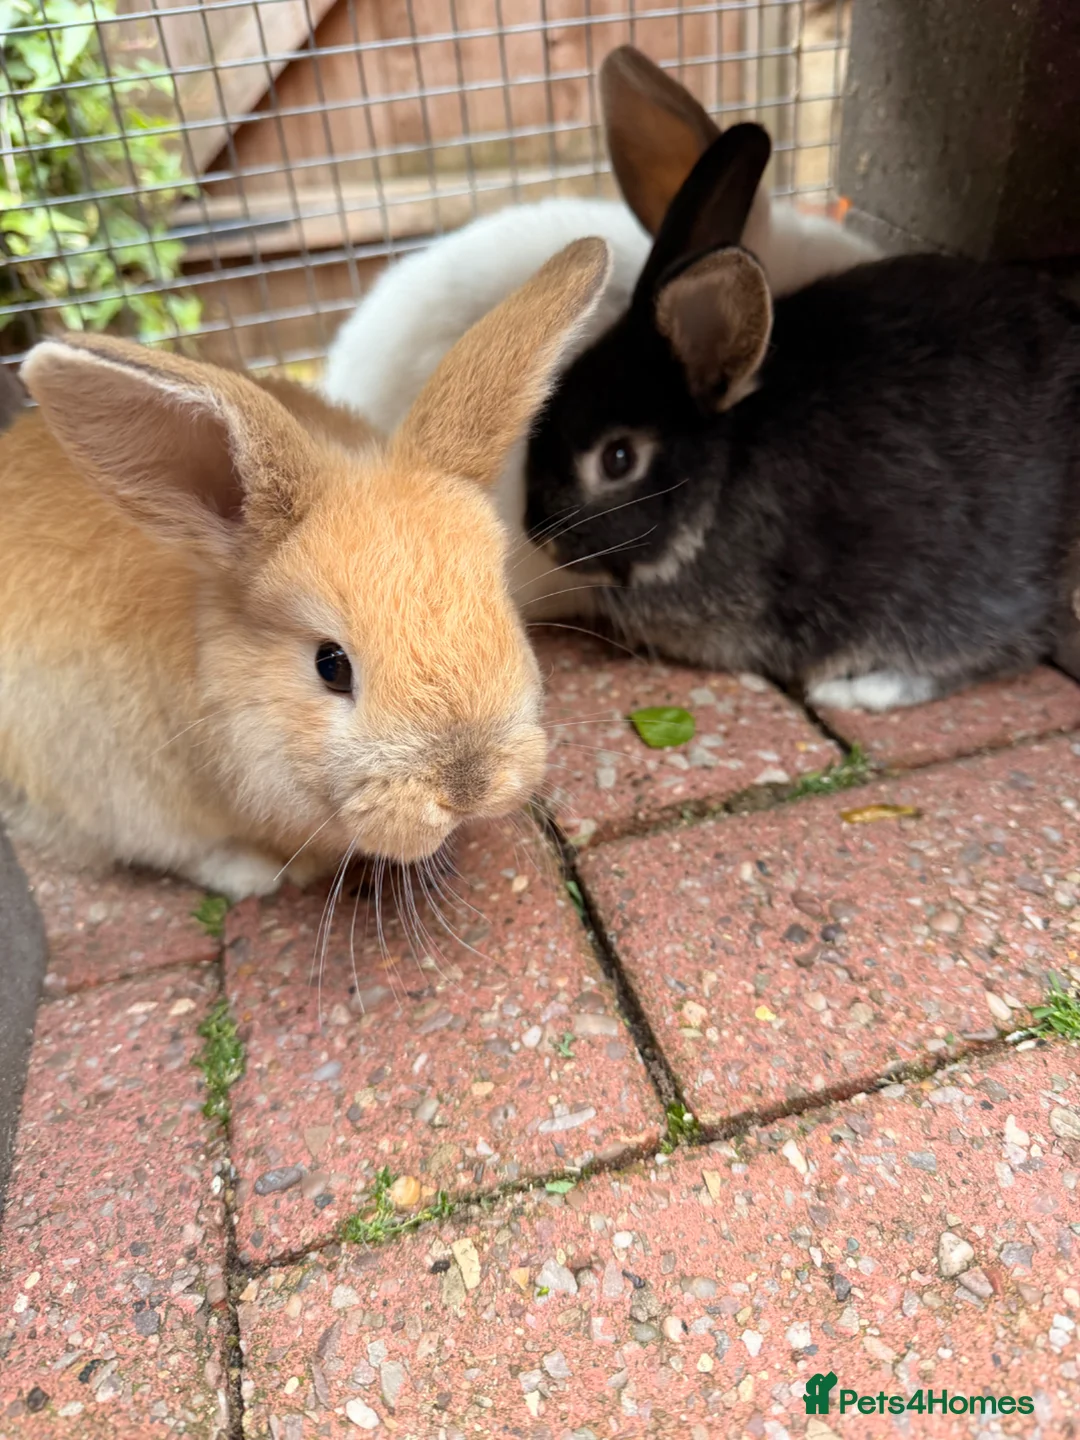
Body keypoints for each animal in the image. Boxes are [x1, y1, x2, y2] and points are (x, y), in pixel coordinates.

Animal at [523, 123, 1080, 712]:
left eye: (618, 459)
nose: (538, 533)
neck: (721, 475)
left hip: (956, 583)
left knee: (1006, 645)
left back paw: (853, 691)